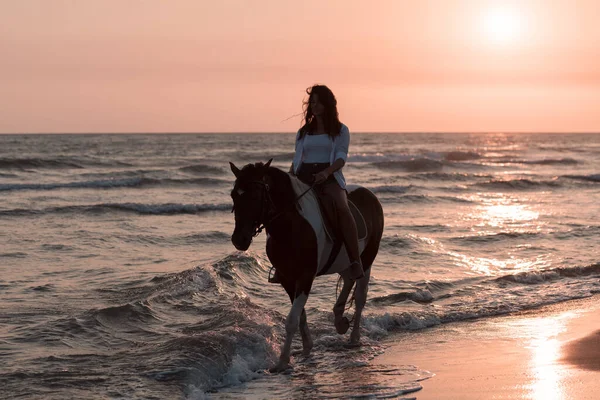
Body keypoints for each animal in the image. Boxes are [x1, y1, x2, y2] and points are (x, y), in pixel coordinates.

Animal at [230, 159, 384, 372]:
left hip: (368, 257)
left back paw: (354, 338)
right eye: (233, 195)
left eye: (255, 195)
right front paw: (305, 349)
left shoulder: (305, 277)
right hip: (345, 260)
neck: (291, 226)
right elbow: (299, 316)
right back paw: (339, 318)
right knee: (348, 278)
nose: (239, 240)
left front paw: (282, 361)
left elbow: (292, 319)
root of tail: (370, 195)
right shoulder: (287, 278)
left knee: (360, 294)